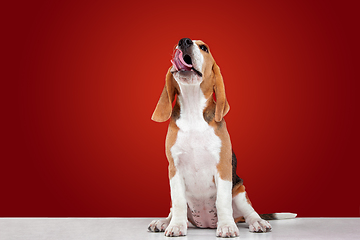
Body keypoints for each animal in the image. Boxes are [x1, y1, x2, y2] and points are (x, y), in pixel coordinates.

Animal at [148, 38, 294, 237]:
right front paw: (176, 226)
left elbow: (222, 201)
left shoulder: (223, 168)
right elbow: (178, 202)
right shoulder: (174, 169)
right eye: (177, 45)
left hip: (239, 192)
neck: (193, 110)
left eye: (203, 47)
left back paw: (257, 222)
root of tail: (205, 224)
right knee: (173, 210)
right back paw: (163, 222)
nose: (183, 41)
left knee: (249, 213)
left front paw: (226, 226)